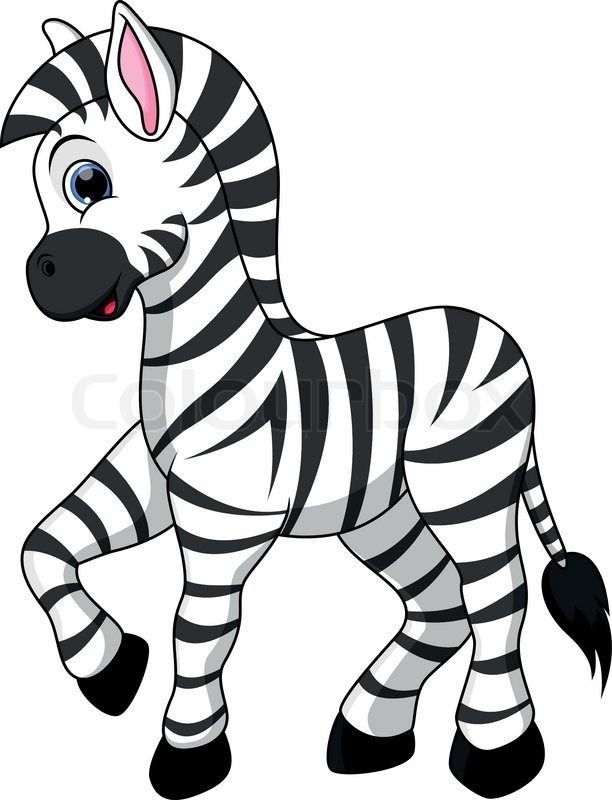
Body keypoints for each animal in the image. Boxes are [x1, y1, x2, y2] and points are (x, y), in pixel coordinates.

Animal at [3, 4, 610, 799]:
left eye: (87, 179)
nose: (38, 278)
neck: (207, 363)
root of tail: (501, 335)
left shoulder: (227, 523)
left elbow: (198, 632)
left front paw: (187, 755)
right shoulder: (150, 488)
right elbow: (41, 549)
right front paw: (108, 669)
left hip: (466, 483)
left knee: (498, 597)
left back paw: (494, 751)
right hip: (382, 512)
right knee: (440, 600)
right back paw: (369, 730)